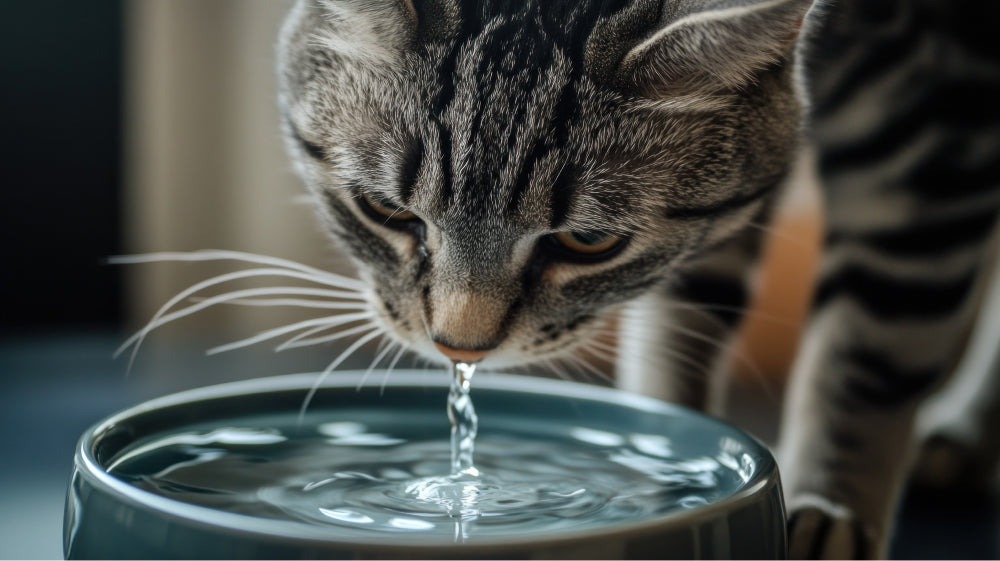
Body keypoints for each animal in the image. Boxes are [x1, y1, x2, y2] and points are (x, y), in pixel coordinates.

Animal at [274, 0, 1000, 556]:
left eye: (588, 241)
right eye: (385, 208)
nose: (460, 345)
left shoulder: (928, 150)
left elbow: (862, 365)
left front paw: (826, 507)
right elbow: (678, 334)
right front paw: (668, 466)